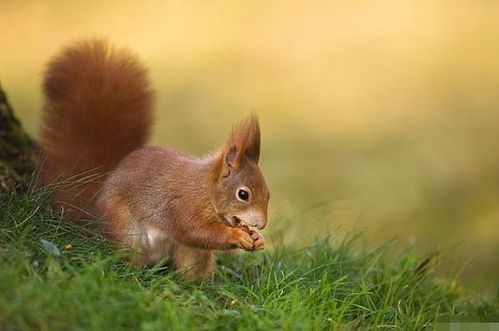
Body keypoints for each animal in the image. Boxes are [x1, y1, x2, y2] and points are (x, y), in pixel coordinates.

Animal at [39, 39, 272, 278]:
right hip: (127, 231)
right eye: (243, 194)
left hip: (191, 255)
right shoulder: (184, 205)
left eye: (268, 193)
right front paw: (237, 235)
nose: (262, 224)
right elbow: (197, 231)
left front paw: (257, 239)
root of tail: (96, 211)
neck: (206, 189)